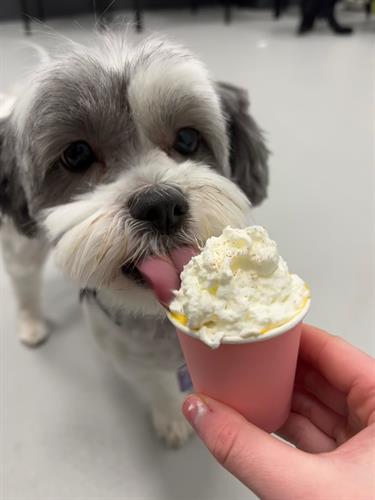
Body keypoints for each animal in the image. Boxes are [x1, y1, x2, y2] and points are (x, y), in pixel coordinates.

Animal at [0, 33, 270, 448]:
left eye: (187, 139)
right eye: (76, 154)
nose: (160, 205)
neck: (156, 314)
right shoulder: (121, 344)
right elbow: (155, 382)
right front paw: (172, 418)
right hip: (21, 243)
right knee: (23, 278)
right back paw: (30, 322)